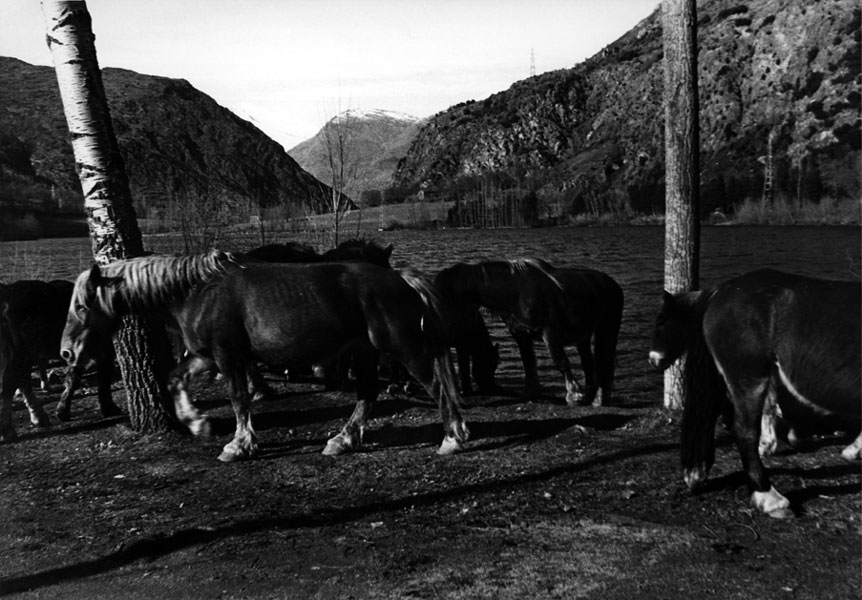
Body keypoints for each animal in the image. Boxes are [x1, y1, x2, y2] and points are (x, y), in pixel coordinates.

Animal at [0, 278, 118, 440]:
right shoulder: (101, 349)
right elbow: (101, 377)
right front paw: (109, 408)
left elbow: (73, 378)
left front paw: (62, 411)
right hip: (20, 353)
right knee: (10, 383)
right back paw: (7, 431)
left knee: (22, 382)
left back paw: (39, 418)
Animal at [60, 251, 470, 462]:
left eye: (81, 306)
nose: (66, 351)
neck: (197, 291)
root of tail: (399, 278)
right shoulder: (206, 356)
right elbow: (175, 379)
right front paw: (197, 423)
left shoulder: (228, 357)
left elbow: (240, 400)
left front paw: (238, 445)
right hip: (365, 351)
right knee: (367, 394)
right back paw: (342, 440)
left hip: (402, 346)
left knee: (435, 384)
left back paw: (452, 438)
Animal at [436, 258, 624, 408]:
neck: (516, 292)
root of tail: (611, 283)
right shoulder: (520, 334)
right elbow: (528, 361)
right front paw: (530, 393)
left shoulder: (549, 332)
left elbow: (560, 361)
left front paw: (573, 395)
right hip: (583, 337)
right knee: (589, 364)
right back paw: (592, 398)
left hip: (607, 331)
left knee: (603, 363)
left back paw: (597, 399)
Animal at [652, 270, 860, 516]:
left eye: (662, 322)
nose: (653, 359)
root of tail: (721, 291)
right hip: (748, 375)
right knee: (745, 431)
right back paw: (769, 497)